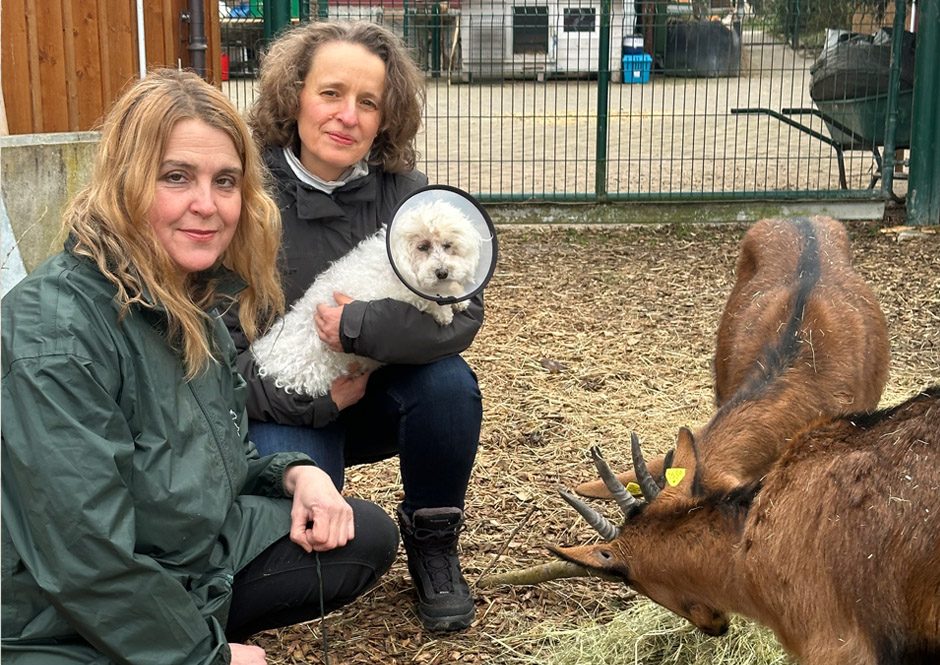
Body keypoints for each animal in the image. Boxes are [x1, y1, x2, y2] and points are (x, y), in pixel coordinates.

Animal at [252, 200, 482, 396]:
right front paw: (443, 312)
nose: (442, 272)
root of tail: (264, 359)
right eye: (422, 246)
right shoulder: (385, 291)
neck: (396, 264)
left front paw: (458, 298)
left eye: (447, 245)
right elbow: (421, 297)